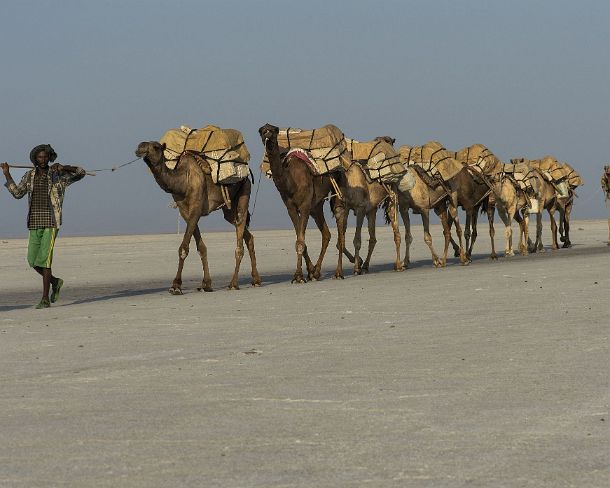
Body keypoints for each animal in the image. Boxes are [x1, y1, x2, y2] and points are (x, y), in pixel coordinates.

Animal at [135, 140, 258, 294]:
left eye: (156, 147)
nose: (140, 147)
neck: (183, 181)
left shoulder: (196, 208)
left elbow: (183, 248)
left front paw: (176, 285)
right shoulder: (185, 212)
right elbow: (201, 248)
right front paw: (206, 284)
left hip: (245, 189)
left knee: (240, 235)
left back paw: (233, 283)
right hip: (229, 208)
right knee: (246, 233)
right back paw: (256, 280)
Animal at [255, 123, 344, 282]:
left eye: (273, 130)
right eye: (261, 130)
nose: (267, 134)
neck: (290, 182)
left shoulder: (304, 206)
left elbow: (301, 242)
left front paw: (299, 276)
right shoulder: (291, 207)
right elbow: (300, 240)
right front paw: (307, 272)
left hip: (337, 185)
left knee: (339, 224)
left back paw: (338, 272)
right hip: (316, 206)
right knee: (326, 234)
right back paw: (317, 272)